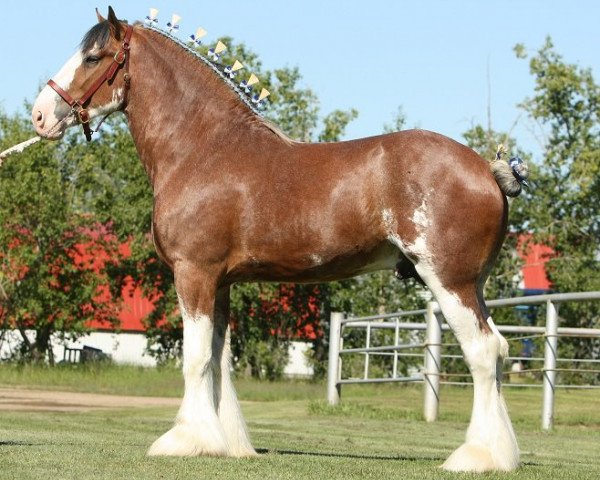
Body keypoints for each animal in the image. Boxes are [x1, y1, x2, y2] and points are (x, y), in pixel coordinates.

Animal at [30, 7, 528, 472]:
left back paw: (476, 455)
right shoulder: (222, 283)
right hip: (473, 286)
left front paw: (186, 440)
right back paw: (500, 453)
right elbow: (219, 360)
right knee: (499, 349)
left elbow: (196, 359)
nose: (39, 115)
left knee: (482, 352)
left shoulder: (194, 274)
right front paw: (228, 443)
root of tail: (488, 170)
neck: (201, 149)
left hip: (450, 281)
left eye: (93, 57)